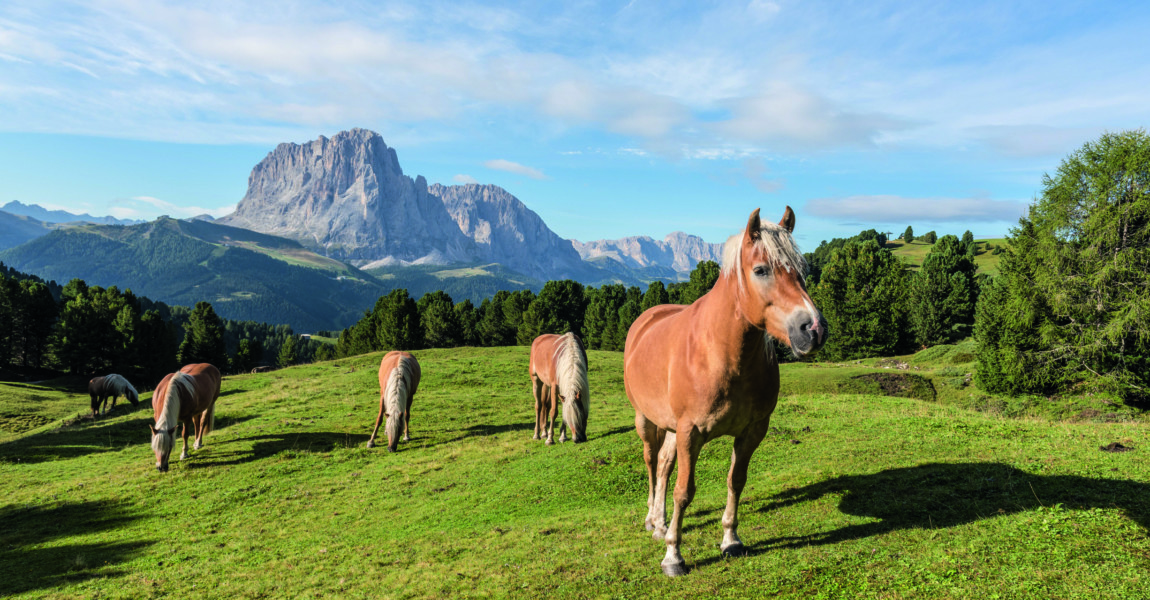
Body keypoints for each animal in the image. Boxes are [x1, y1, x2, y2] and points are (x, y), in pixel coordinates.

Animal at [621, 206, 828, 574]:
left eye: (802, 270)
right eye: (761, 270)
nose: (814, 329)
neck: (720, 353)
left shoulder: (751, 431)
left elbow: (736, 481)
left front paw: (731, 539)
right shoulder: (690, 432)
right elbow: (684, 491)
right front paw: (673, 555)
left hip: (672, 428)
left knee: (663, 464)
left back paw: (660, 523)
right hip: (646, 420)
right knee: (650, 463)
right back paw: (651, 520)